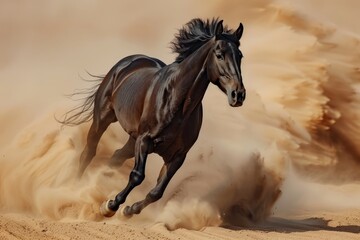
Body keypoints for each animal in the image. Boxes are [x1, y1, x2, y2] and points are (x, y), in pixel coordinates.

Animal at [60, 18, 246, 218]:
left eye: (240, 56)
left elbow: (157, 192)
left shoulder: (177, 156)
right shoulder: (145, 140)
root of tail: (128, 62)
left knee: (116, 157)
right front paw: (111, 205)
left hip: (132, 139)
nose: (238, 95)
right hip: (103, 120)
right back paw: (74, 189)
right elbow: (137, 176)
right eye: (219, 55)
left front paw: (128, 209)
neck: (178, 105)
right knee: (89, 152)